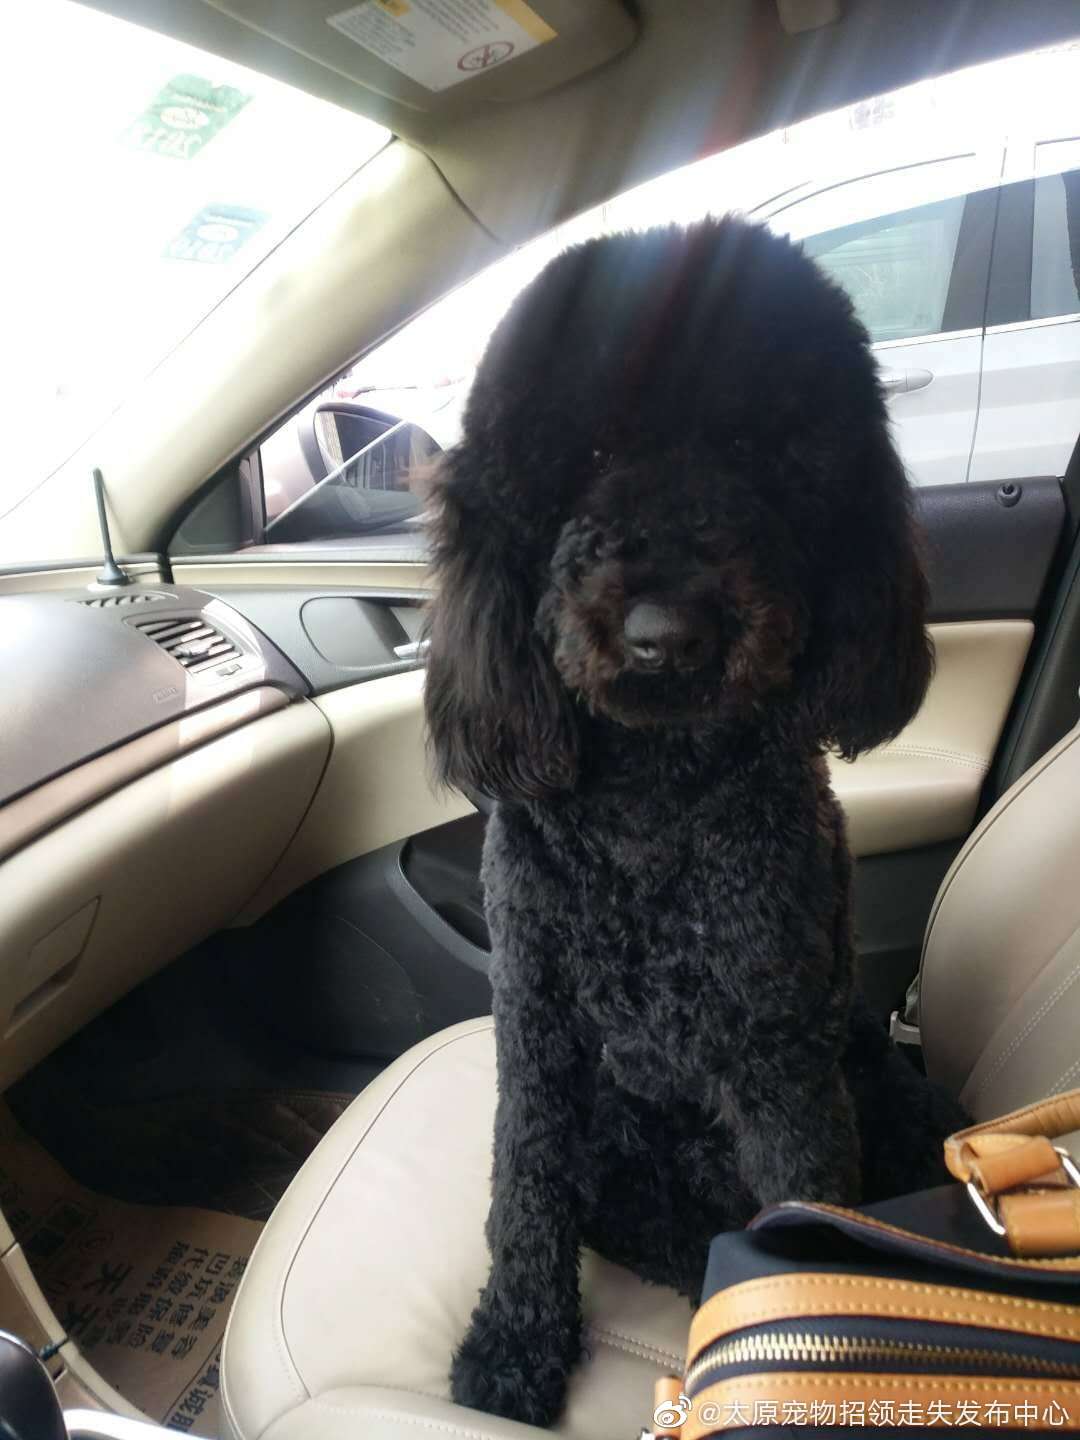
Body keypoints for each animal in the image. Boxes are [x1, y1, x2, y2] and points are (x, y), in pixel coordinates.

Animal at [422, 217, 969, 1428]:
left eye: (758, 451)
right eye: (581, 457)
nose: (665, 633)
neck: (649, 811)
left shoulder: (777, 1045)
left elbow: (808, 1205)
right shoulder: (538, 1022)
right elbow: (522, 1189)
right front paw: (512, 1348)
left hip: (875, 1072)